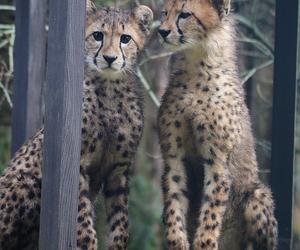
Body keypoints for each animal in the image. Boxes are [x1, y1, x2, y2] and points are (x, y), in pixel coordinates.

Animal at [0, 2, 154, 250]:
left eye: (125, 39)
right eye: (98, 35)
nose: (109, 58)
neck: (111, 90)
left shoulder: (118, 170)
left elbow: (121, 224)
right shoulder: (79, 166)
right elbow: (82, 220)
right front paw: (88, 242)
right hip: (29, 183)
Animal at [158, 0, 278, 250]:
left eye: (185, 14)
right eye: (164, 12)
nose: (162, 31)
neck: (197, 65)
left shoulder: (218, 160)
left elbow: (211, 212)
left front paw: (204, 241)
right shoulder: (173, 158)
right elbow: (174, 206)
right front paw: (178, 241)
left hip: (257, 195)